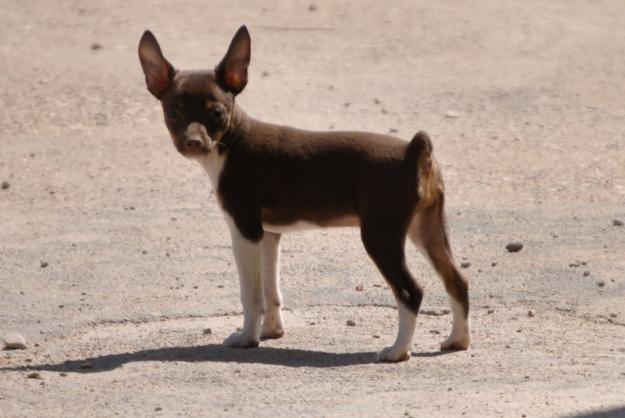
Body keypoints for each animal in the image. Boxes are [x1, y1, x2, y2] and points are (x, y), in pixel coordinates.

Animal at [136, 25, 468, 362]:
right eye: (173, 113)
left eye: (216, 112)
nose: (192, 142)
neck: (231, 143)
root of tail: (415, 150)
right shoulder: (268, 236)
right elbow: (271, 291)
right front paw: (271, 331)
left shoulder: (245, 232)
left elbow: (251, 295)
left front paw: (247, 338)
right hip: (426, 229)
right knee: (456, 280)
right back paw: (458, 340)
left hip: (381, 236)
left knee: (411, 291)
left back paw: (398, 350)